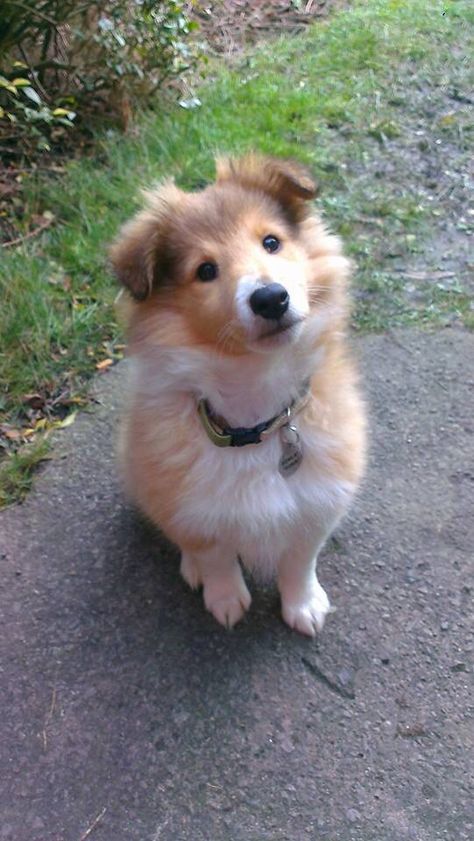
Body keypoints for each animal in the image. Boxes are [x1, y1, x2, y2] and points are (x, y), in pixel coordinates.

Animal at [111, 154, 366, 632]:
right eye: (205, 271)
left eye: (271, 242)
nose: (270, 298)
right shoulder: (190, 504)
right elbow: (215, 556)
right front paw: (225, 598)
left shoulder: (318, 500)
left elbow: (300, 559)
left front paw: (303, 605)